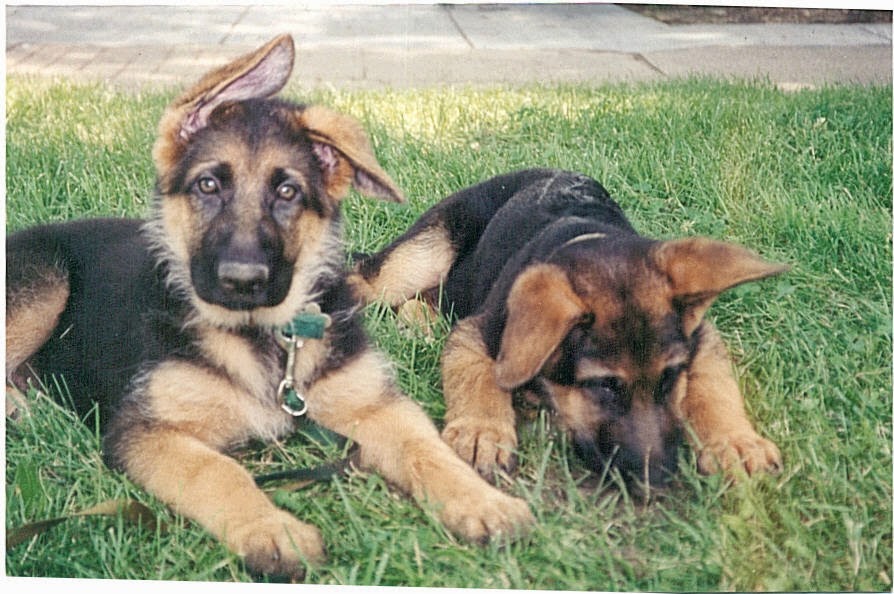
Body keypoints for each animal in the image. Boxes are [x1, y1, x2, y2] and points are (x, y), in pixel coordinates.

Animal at [5, 35, 532, 580]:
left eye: (287, 191)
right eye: (208, 185)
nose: (242, 281)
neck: (265, 338)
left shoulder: (375, 405)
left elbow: (425, 448)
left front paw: (482, 500)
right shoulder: (144, 430)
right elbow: (217, 470)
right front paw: (272, 530)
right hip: (45, 280)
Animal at [354, 166, 788, 486]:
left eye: (670, 377)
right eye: (603, 386)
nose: (658, 479)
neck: (590, 241)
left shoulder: (702, 337)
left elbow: (714, 384)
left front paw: (735, 442)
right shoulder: (478, 332)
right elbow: (480, 376)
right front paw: (483, 431)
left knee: (426, 300)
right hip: (420, 257)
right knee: (365, 282)